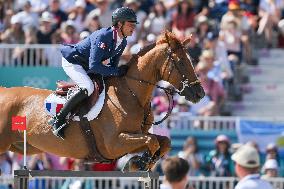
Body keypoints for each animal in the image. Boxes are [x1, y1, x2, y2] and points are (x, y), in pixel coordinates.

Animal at [0, 31, 205, 170]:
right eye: (181, 62)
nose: (200, 94)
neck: (130, 94)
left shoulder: (131, 140)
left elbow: (163, 141)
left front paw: (142, 162)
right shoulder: (114, 144)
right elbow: (152, 140)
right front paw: (140, 162)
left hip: (24, 147)